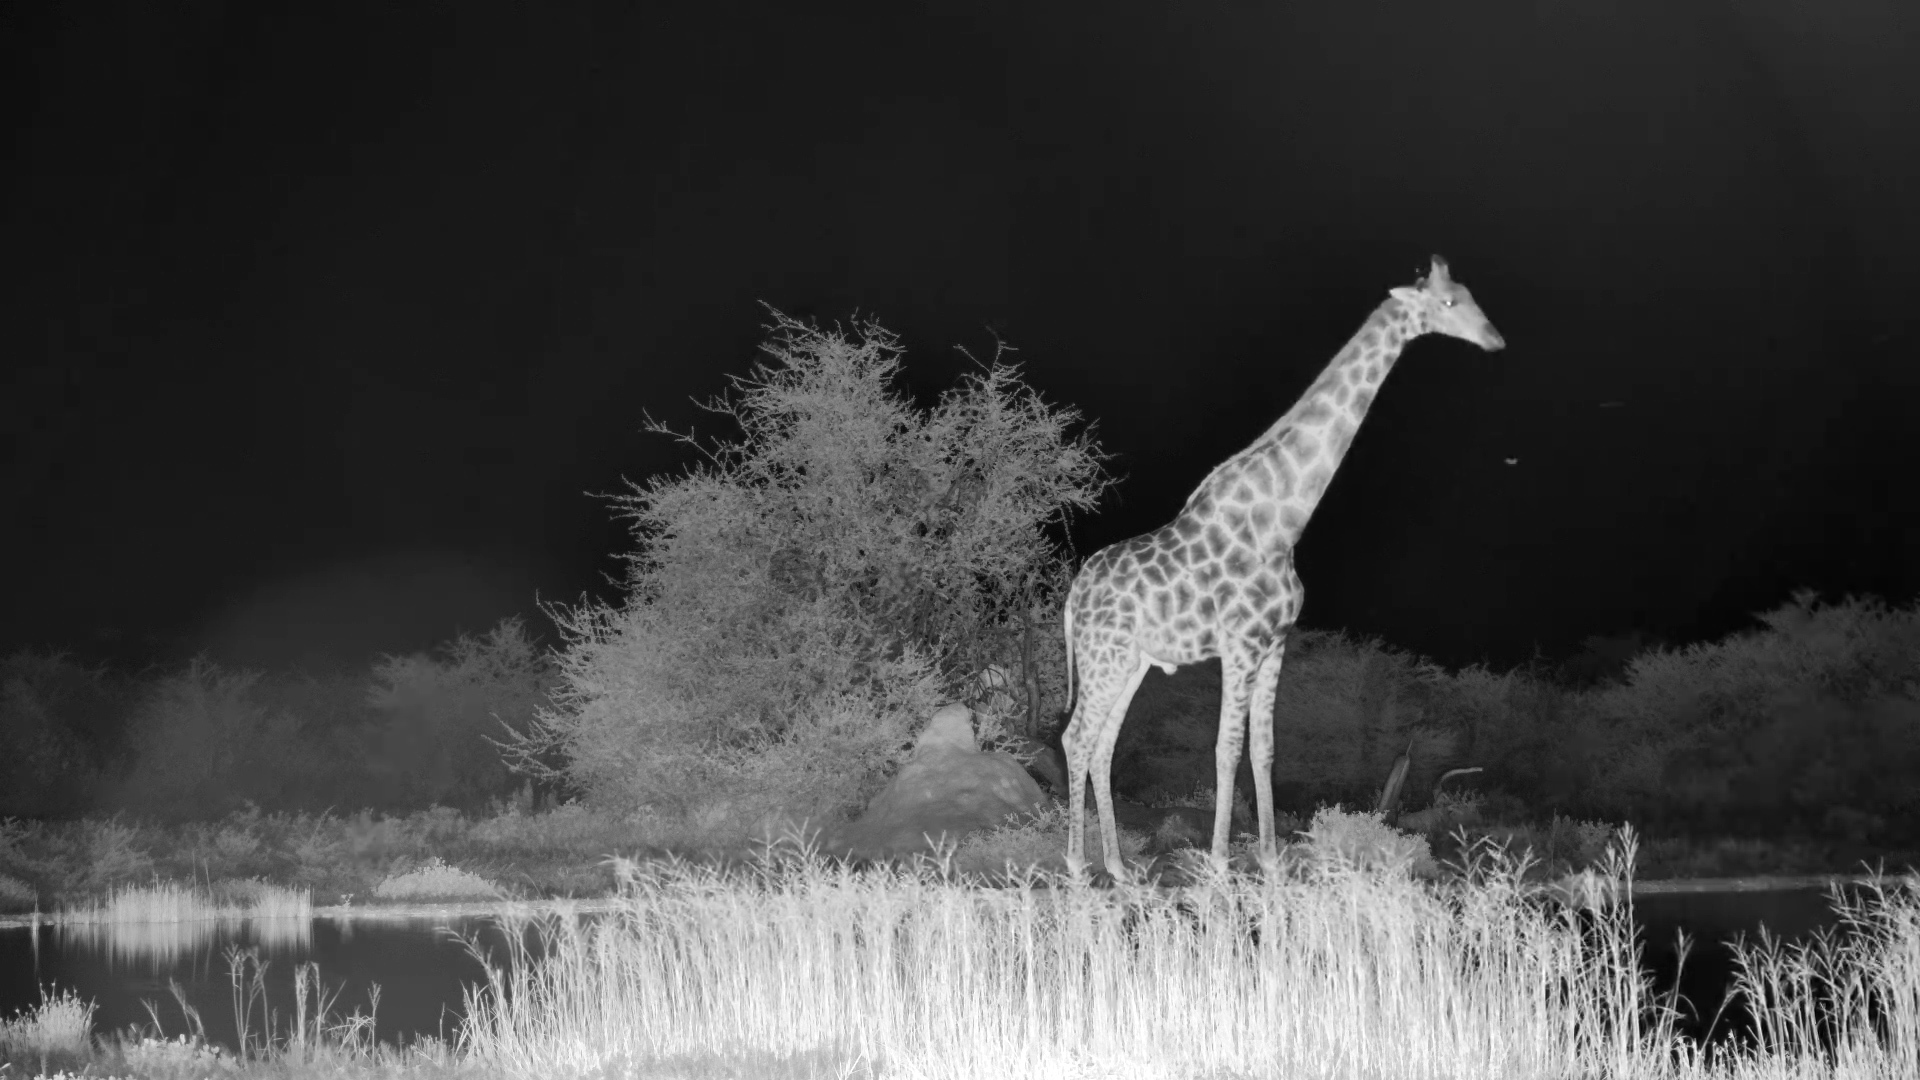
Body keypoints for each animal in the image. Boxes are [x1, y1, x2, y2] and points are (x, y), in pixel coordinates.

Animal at [1062, 255, 1505, 883]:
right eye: (1447, 304)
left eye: (1468, 294)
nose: (1494, 338)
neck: (1284, 518)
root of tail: (1073, 595)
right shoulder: (1240, 644)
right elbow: (1225, 748)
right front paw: (1220, 865)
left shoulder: (1275, 644)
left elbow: (1264, 750)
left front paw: (1271, 863)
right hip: (1104, 656)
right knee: (1076, 738)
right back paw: (1079, 867)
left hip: (1132, 661)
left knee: (1102, 744)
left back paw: (1120, 869)